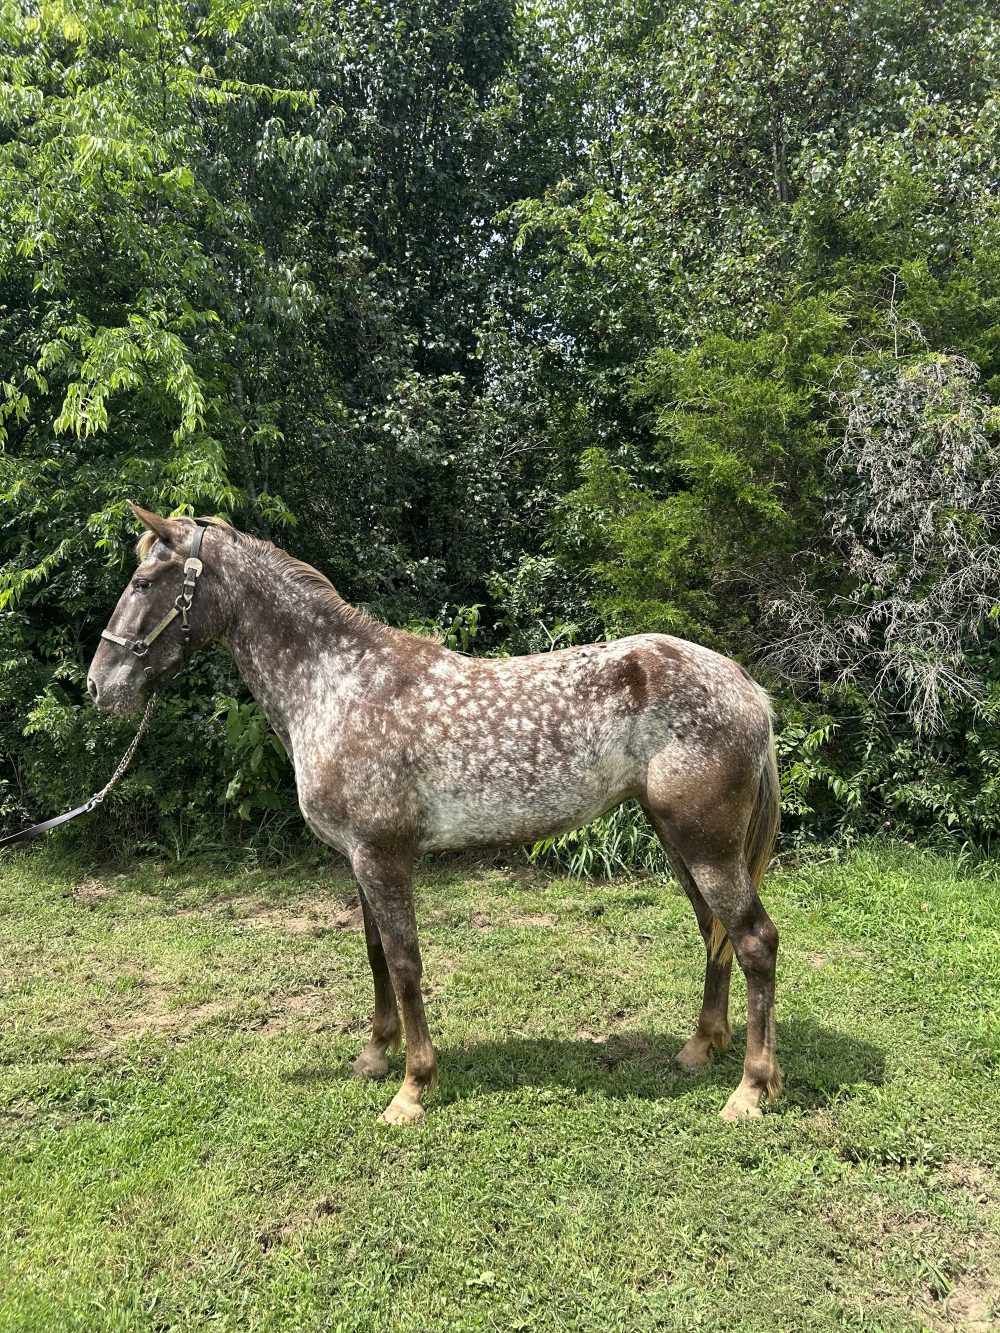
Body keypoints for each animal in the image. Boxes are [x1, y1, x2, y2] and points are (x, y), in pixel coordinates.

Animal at [87, 504, 782, 1125]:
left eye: (144, 583)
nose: (100, 685)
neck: (341, 686)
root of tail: (746, 687)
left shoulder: (383, 856)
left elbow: (404, 962)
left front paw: (412, 1089)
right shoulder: (360, 860)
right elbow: (375, 953)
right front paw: (375, 1056)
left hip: (707, 847)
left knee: (754, 941)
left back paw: (750, 1090)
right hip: (682, 842)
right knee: (714, 933)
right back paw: (700, 1048)